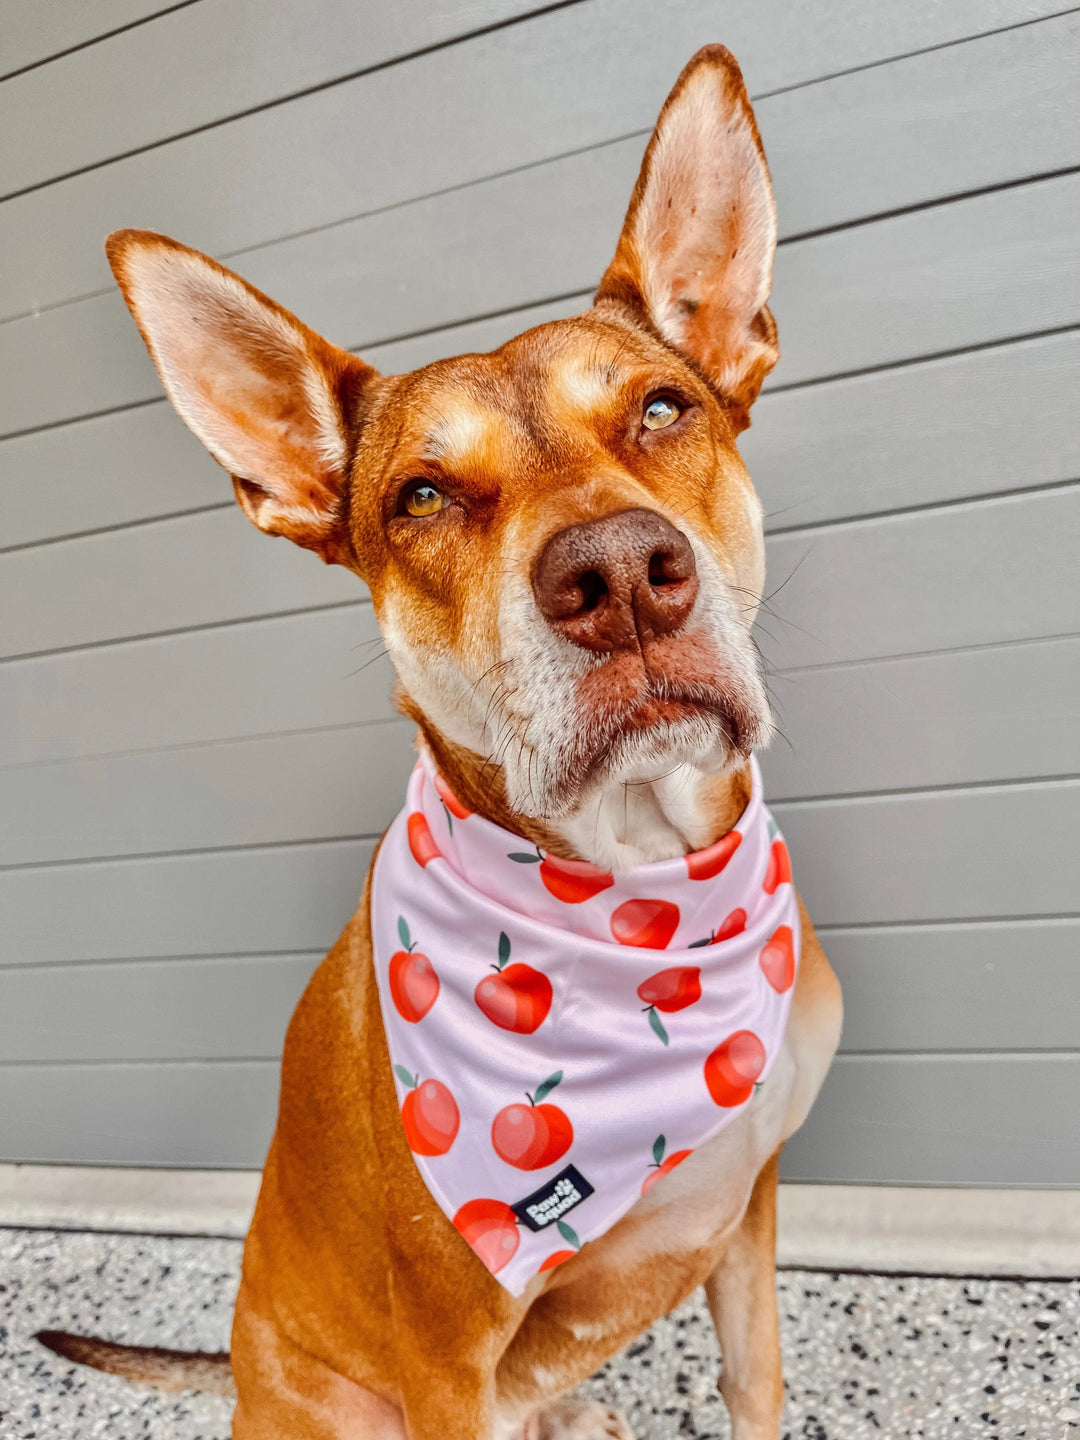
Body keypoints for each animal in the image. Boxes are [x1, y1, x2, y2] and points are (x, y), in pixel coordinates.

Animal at [40, 47, 846, 1440]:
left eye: (662, 409)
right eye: (420, 495)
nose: (620, 579)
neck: (642, 901)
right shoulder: (448, 1347)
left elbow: (756, 1384)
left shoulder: (750, 1213)